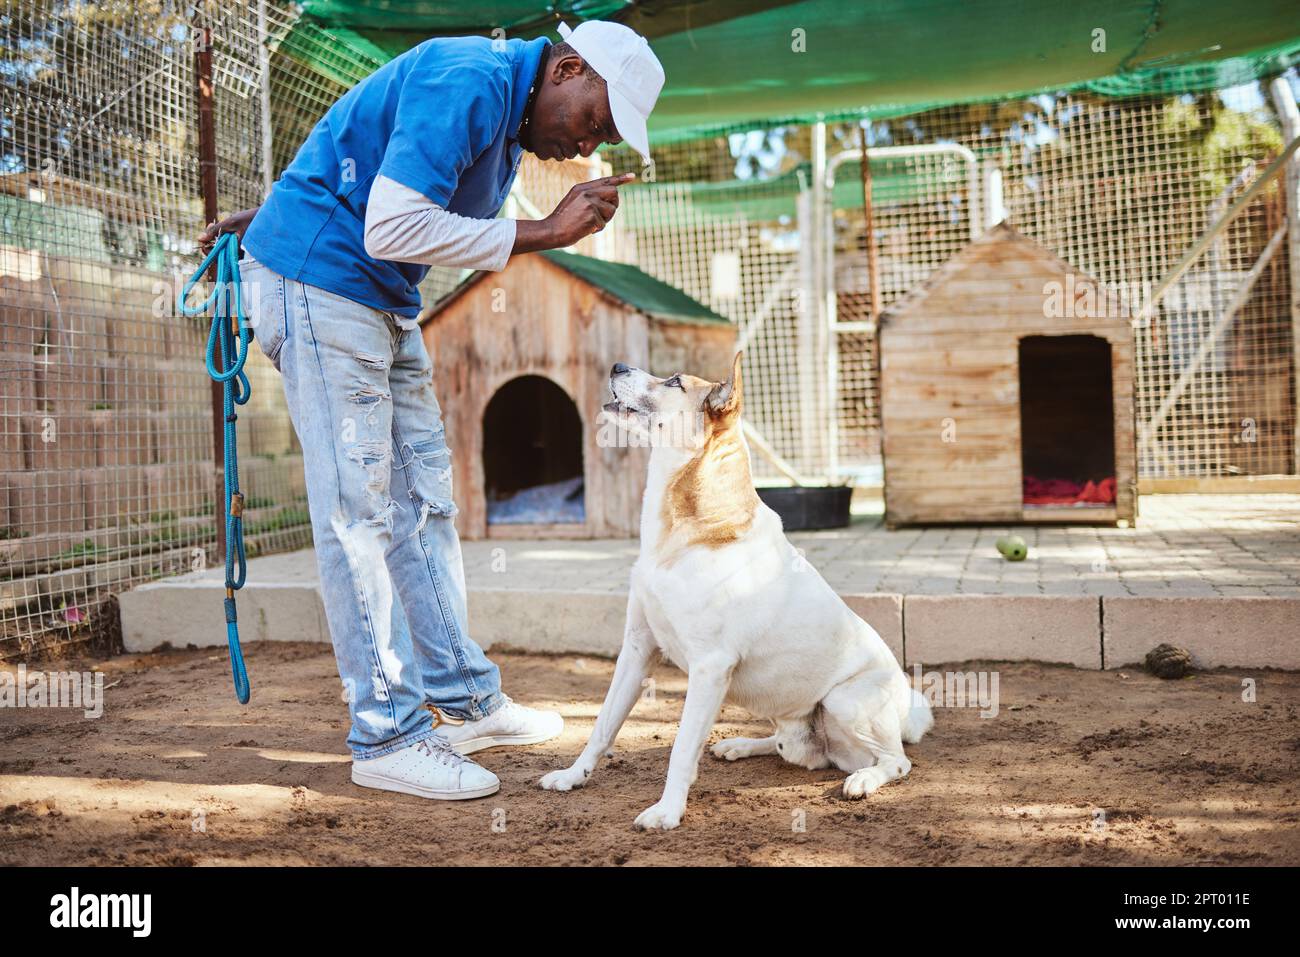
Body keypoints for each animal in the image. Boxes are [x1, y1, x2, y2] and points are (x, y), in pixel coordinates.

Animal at [540, 353, 935, 832]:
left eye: (675, 381)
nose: (616, 365)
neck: (682, 532)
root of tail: (906, 714)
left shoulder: (710, 667)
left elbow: (680, 749)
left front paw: (667, 812)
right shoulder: (637, 649)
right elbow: (602, 726)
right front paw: (572, 776)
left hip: (845, 701)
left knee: (896, 761)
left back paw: (863, 779)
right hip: (792, 730)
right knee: (787, 745)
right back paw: (742, 745)